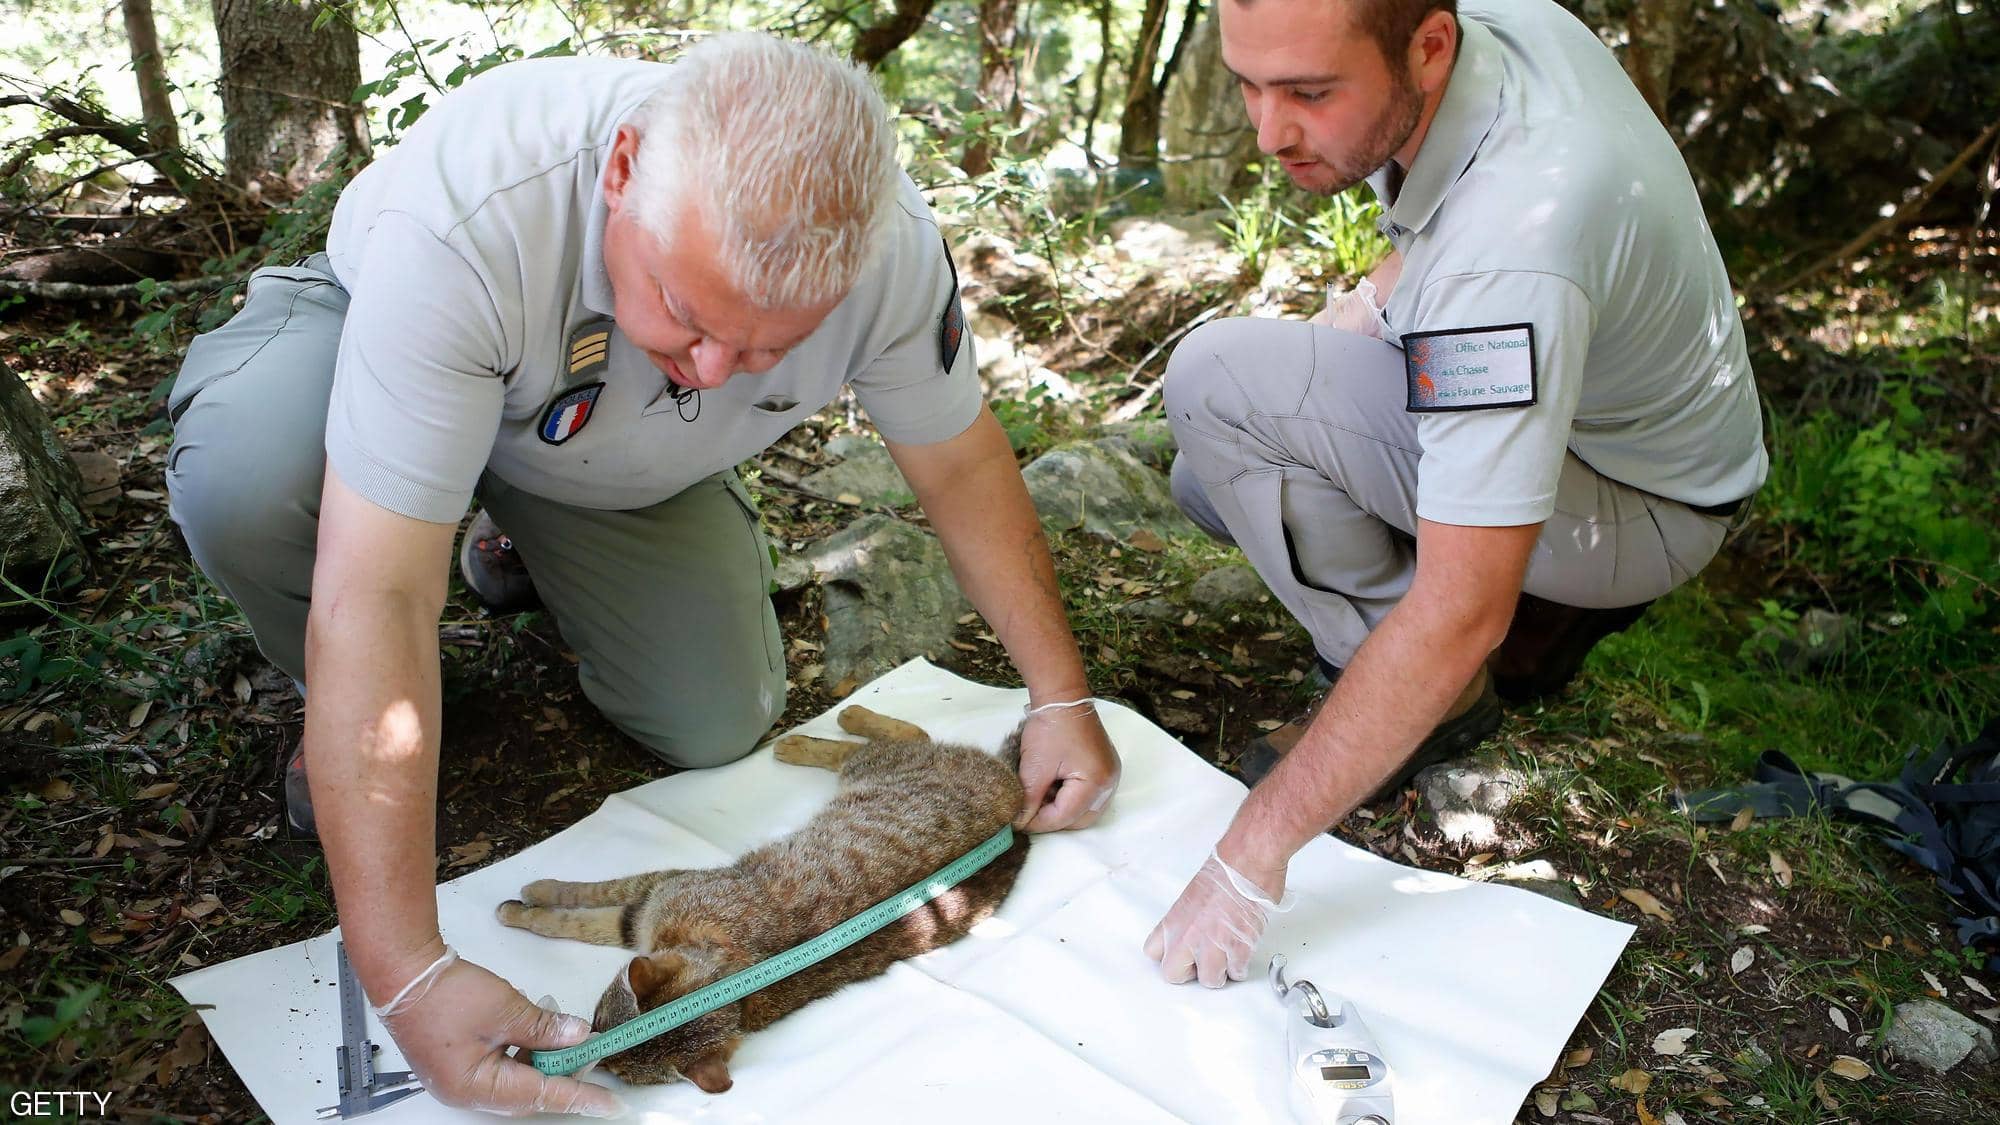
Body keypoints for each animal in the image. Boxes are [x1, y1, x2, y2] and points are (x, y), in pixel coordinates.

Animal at [496, 704, 1032, 1088]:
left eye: (600, 1030)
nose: (590, 1059)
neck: (734, 965)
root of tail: (1016, 794)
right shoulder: (657, 898)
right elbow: (591, 902)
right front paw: (535, 895)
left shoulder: (655, 892)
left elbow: (582, 913)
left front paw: (527, 903)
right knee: (913, 734)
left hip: (874, 770)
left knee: (897, 741)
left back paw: (823, 732)